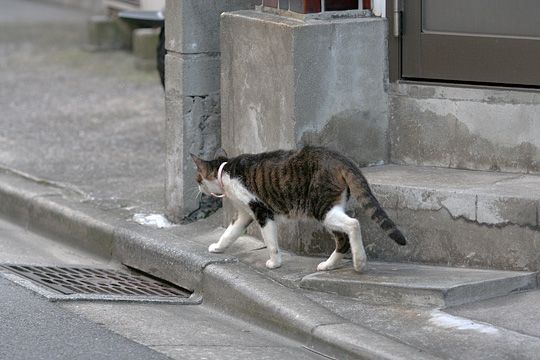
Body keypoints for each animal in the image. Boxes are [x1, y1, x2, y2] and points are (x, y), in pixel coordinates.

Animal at [191, 145, 404, 272]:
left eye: (198, 178)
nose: (197, 188)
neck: (225, 171)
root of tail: (339, 158)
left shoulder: (261, 211)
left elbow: (271, 242)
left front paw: (274, 263)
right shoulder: (245, 214)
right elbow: (230, 233)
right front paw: (218, 247)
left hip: (321, 207)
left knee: (353, 224)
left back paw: (359, 262)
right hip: (332, 206)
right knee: (343, 239)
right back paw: (329, 265)